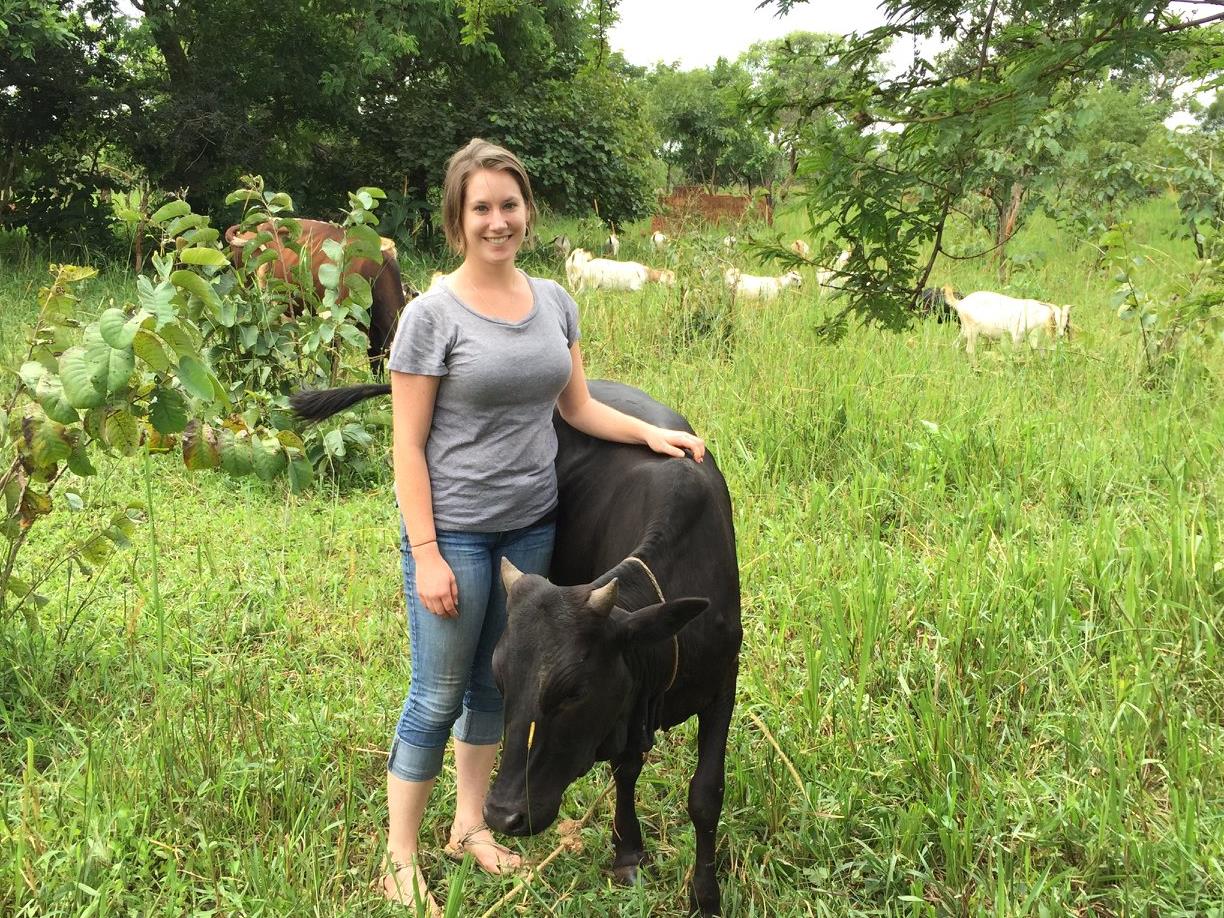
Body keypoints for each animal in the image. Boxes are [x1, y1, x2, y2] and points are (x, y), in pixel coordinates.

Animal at [944, 286, 1072, 354]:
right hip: (972, 331)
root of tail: (960, 303)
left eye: (1066, 323)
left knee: (956, 345)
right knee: (969, 350)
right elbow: (1015, 352)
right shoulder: (1017, 335)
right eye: (1055, 321)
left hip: (964, 330)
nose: (1061, 335)